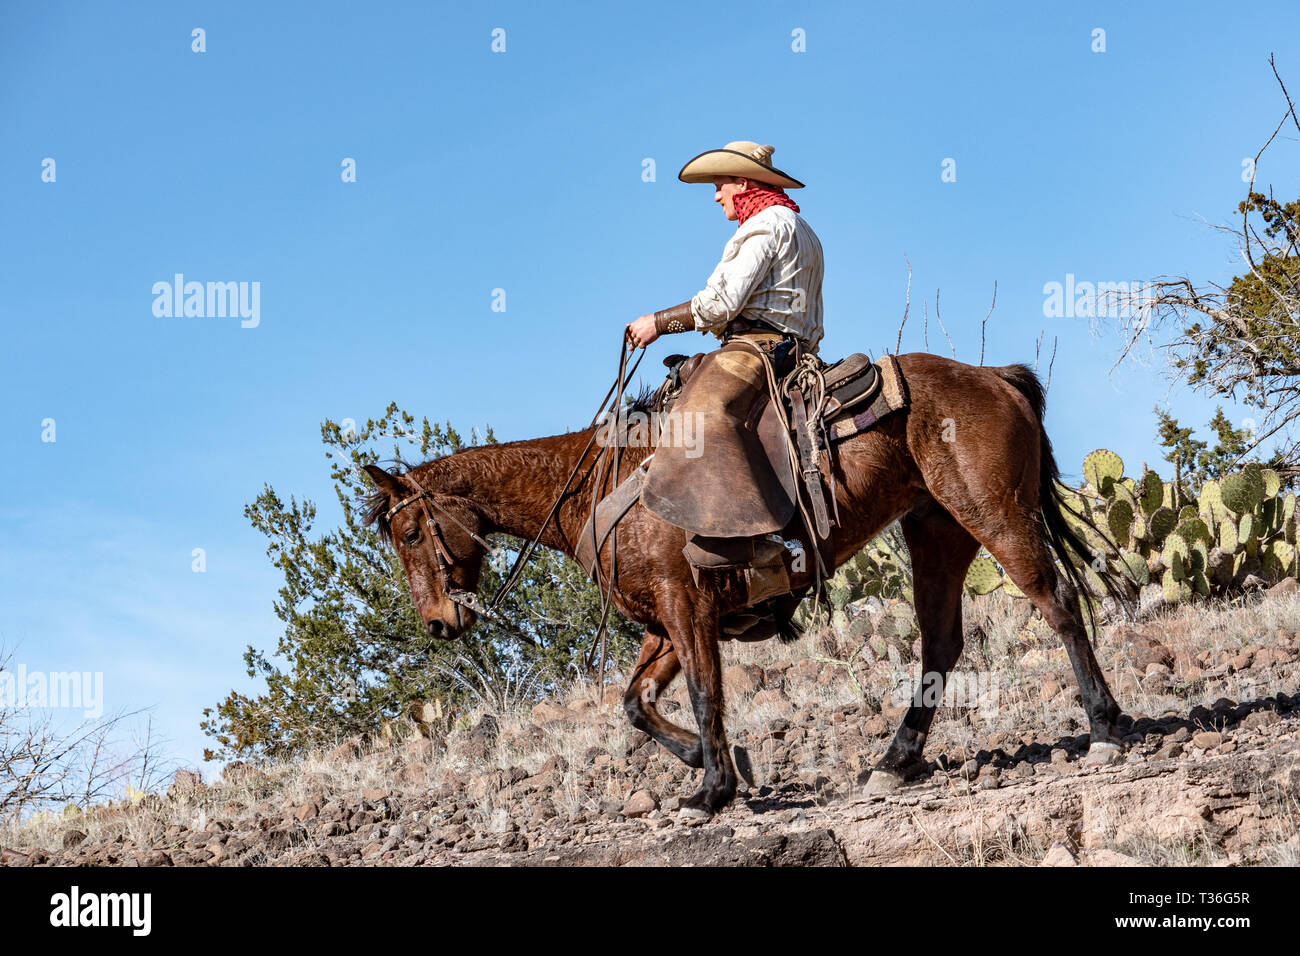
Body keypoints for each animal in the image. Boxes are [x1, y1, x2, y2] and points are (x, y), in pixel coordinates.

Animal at [362, 351, 1129, 820]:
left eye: (409, 534)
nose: (438, 623)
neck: (602, 486)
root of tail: (995, 376)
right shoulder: (663, 625)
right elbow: (636, 704)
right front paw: (717, 764)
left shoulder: (687, 608)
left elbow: (705, 696)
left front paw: (712, 788)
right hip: (938, 534)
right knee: (941, 645)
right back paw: (892, 763)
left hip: (996, 516)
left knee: (1058, 604)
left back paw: (1105, 729)